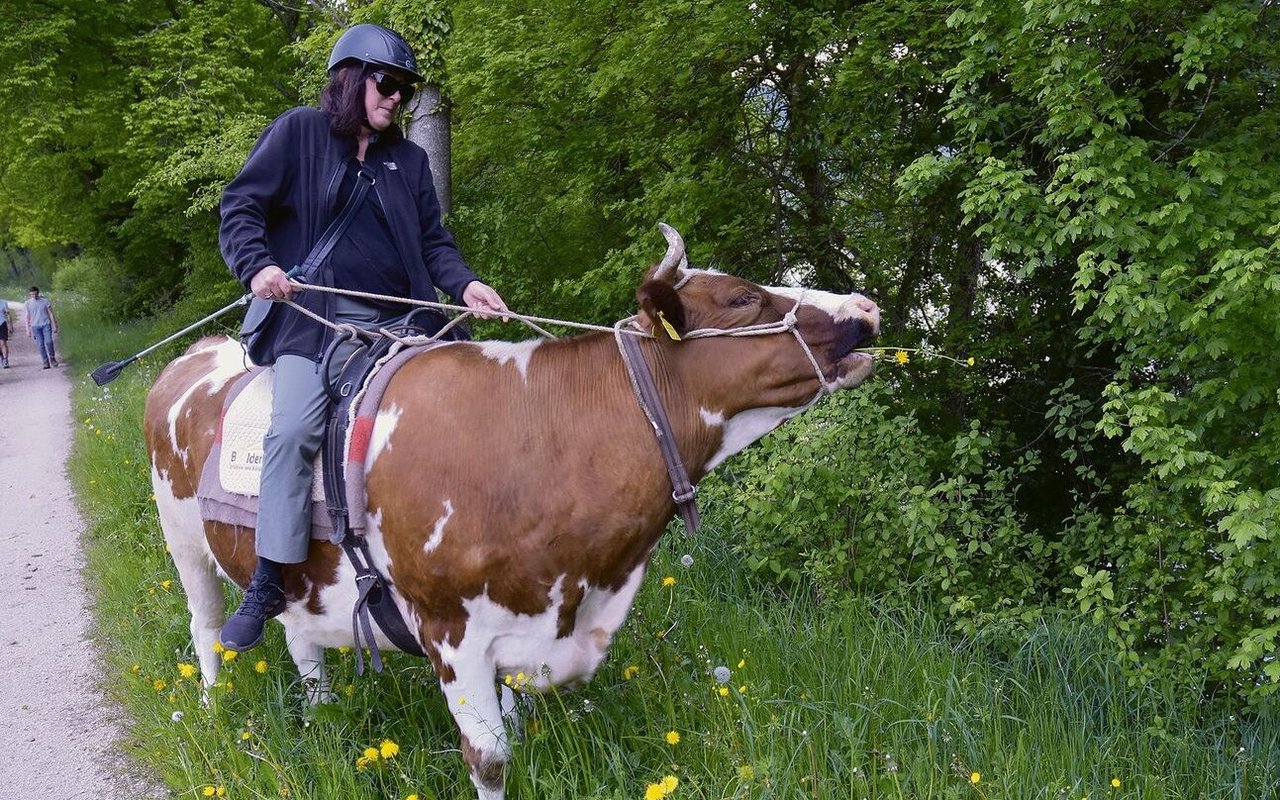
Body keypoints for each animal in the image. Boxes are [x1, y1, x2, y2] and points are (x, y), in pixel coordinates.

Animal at [145, 225, 875, 798]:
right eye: (741, 299)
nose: (865, 306)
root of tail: (199, 351)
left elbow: (516, 729)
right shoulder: (451, 630)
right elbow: (491, 760)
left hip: (298, 575)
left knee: (302, 639)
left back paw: (321, 714)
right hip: (184, 543)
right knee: (206, 627)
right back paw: (213, 711)